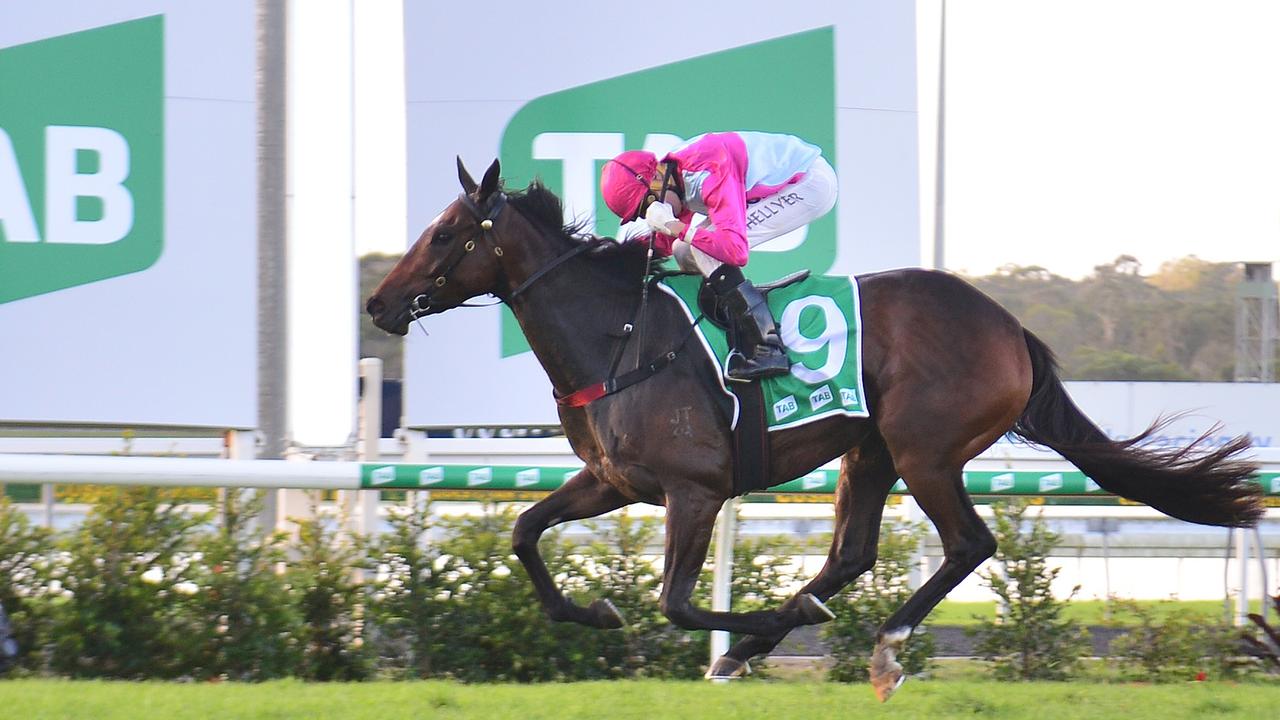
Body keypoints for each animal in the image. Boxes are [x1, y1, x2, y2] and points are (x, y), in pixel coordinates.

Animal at [366, 159, 1264, 696]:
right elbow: (525, 533)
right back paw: (778, 633)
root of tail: (1010, 327)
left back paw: (881, 644)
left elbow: (676, 604)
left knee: (967, 543)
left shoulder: (696, 490)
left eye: (445, 233)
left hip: (925, 449)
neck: (618, 337)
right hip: (870, 452)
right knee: (852, 553)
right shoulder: (614, 481)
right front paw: (598, 615)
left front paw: (756, 623)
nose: (378, 303)